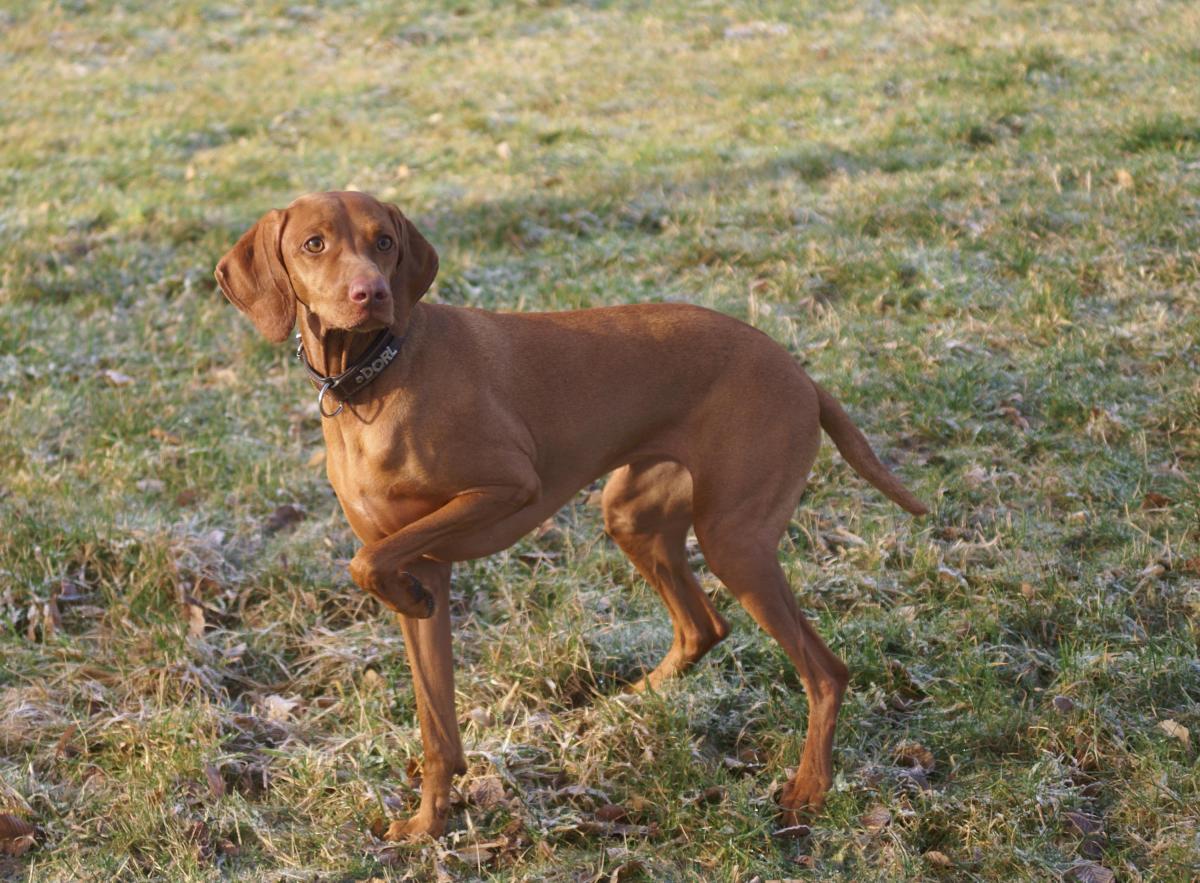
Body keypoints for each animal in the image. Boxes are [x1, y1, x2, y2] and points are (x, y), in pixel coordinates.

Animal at [216, 189, 926, 839]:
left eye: (383, 241)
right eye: (314, 245)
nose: (372, 294)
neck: (374, 378)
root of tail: (802, 374)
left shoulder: (507, 488)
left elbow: (365, 562)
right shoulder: (428, 563)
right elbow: (435, 723)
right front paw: (428, 824)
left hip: (735, 541)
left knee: (825, 672)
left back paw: (808, 788)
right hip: (632, 514)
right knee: (703, 627)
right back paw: (631, 700)